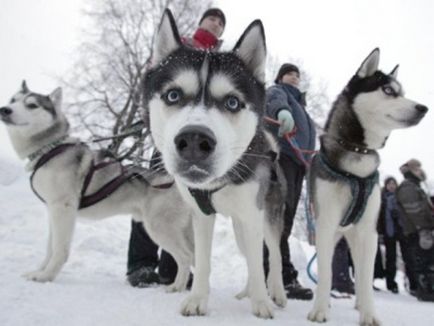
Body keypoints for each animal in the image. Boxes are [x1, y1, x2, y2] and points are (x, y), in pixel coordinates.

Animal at [0, 81, 193, 290]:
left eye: (32, 105)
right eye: (13, 100)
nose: (5, 110)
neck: (49, 149)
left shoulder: (63, 209)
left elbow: (59, 250)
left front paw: (46, 277)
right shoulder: (54, 212)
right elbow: (50, 248)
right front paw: (38, 272)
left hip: (159, 228)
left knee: (185, 258)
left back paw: (177, 287)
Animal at [142, 9, 284, 318]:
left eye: (232, 102)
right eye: (173, 95)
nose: (195, 141)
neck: (221, 183)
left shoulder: (253, 215)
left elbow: (260, 264)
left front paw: (262, 304)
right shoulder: (202, 216)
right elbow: (204, 261)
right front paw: (197, 300)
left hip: (266, 219)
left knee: (274, 255)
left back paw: (277, 293)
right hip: (241, 227)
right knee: (250, 256)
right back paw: (245, 292)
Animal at [308, 49, 428, 326]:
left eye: (403, 91)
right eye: (388, 90)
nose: (423, 108)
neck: (357, 152)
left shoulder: (369, 232)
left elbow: (364, 278)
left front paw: (369, 314)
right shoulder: (326, 224)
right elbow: (326, 273)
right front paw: (319, 309)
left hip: (357, 236)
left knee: (362, 272)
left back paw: (361, 303)